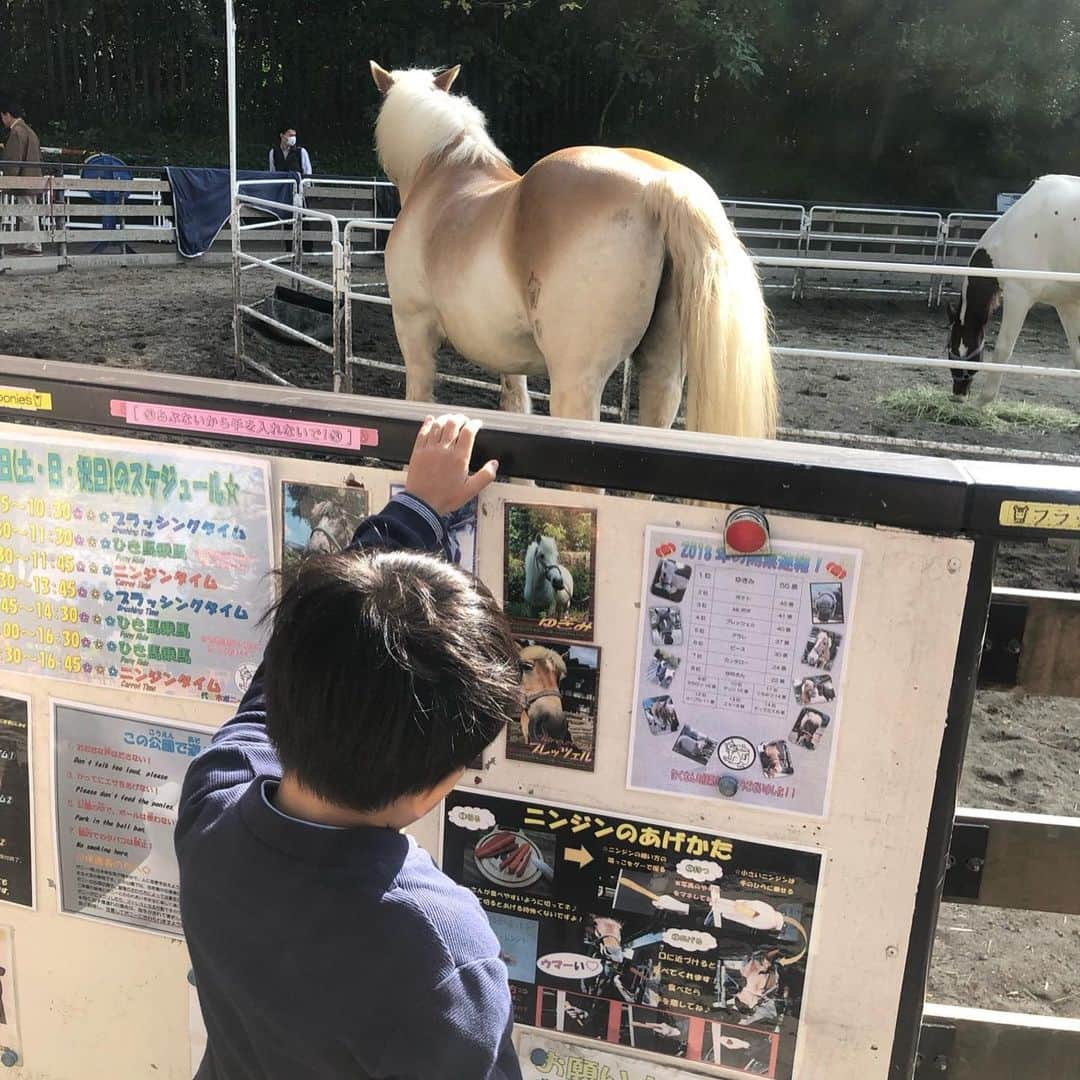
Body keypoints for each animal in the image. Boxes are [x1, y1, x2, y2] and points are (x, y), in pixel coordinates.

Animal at [369, 62, 777, 438]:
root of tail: (657, 184)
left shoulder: (413, 330)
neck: (442, 176)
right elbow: (515, 406)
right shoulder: (507, 357)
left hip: (575, 383)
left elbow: (419, 396)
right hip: (664, 376)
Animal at [946, 174, 1080, 403]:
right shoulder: (1066, 304)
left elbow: (1003, 348)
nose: (958, 394)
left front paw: (983, 401)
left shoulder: (1019, 295)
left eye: (954, 347)